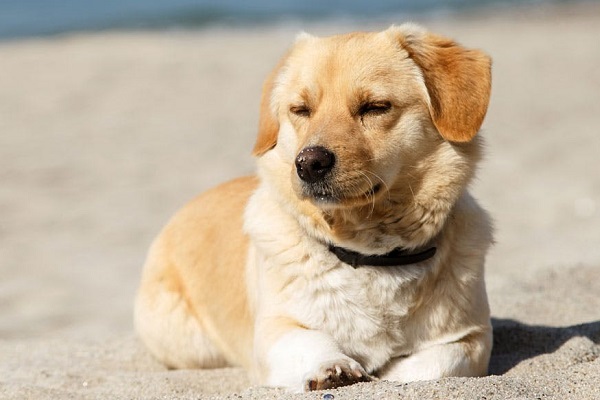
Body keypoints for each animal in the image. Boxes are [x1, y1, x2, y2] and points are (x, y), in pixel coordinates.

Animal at [135, 23, 492, 392]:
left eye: (375, 107)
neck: (369, 253)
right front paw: (332, 366)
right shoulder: (274, 330)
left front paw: (391, 375)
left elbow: (435, 364)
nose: (308, 163)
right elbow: (308, 340)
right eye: (301, 110)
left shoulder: (472, 337)